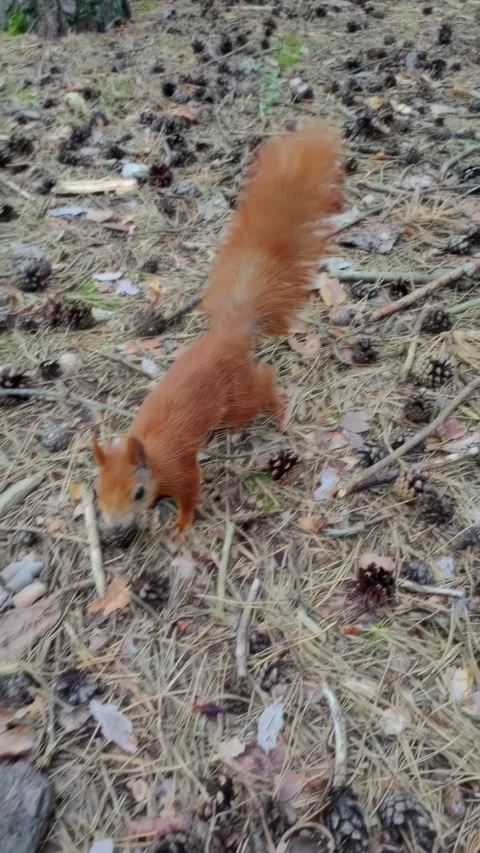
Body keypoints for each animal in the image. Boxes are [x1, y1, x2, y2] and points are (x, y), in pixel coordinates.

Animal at [93, 125, 344, 539]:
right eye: (97, 491)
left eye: (138, 493)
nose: (112, 528)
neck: (150, 454)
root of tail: (229, 332)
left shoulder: (178, 468)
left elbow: (191, 491)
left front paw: (181, 525)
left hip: (238, 397)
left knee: (262, 382)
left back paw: (277, 407)